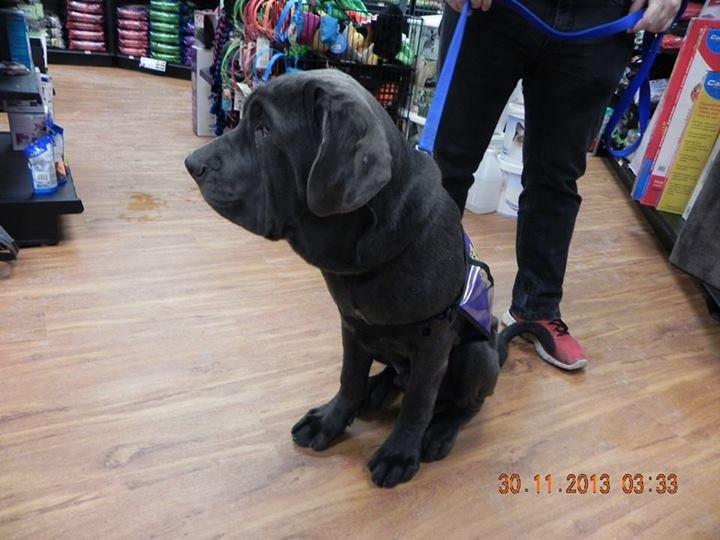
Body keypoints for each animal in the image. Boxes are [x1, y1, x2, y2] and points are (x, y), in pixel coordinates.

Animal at [185, 70, 502, 488]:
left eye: (265, 129)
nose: (191, 163)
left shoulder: (434, 339)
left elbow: (419, 402)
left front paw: (399, 453)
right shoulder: (352, 326)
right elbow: (349, 377)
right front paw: (330, 421)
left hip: (475, 355)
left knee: (465, 403)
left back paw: (439, 431)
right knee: (395, 375)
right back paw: (377, 390)